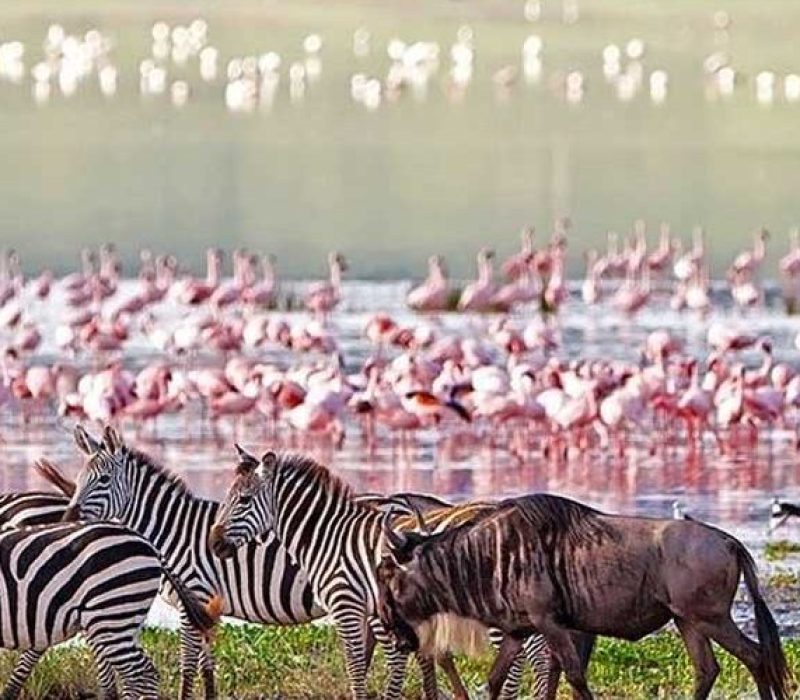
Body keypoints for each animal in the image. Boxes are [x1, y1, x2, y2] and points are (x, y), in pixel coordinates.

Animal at [208, 448, 580, 700]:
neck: (328, 536)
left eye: (243, 500)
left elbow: (356, 663)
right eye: (229, 498)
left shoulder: (346, 605)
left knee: (528, 655)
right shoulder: (372, 609)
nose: (214, 544)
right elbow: (381, 660)